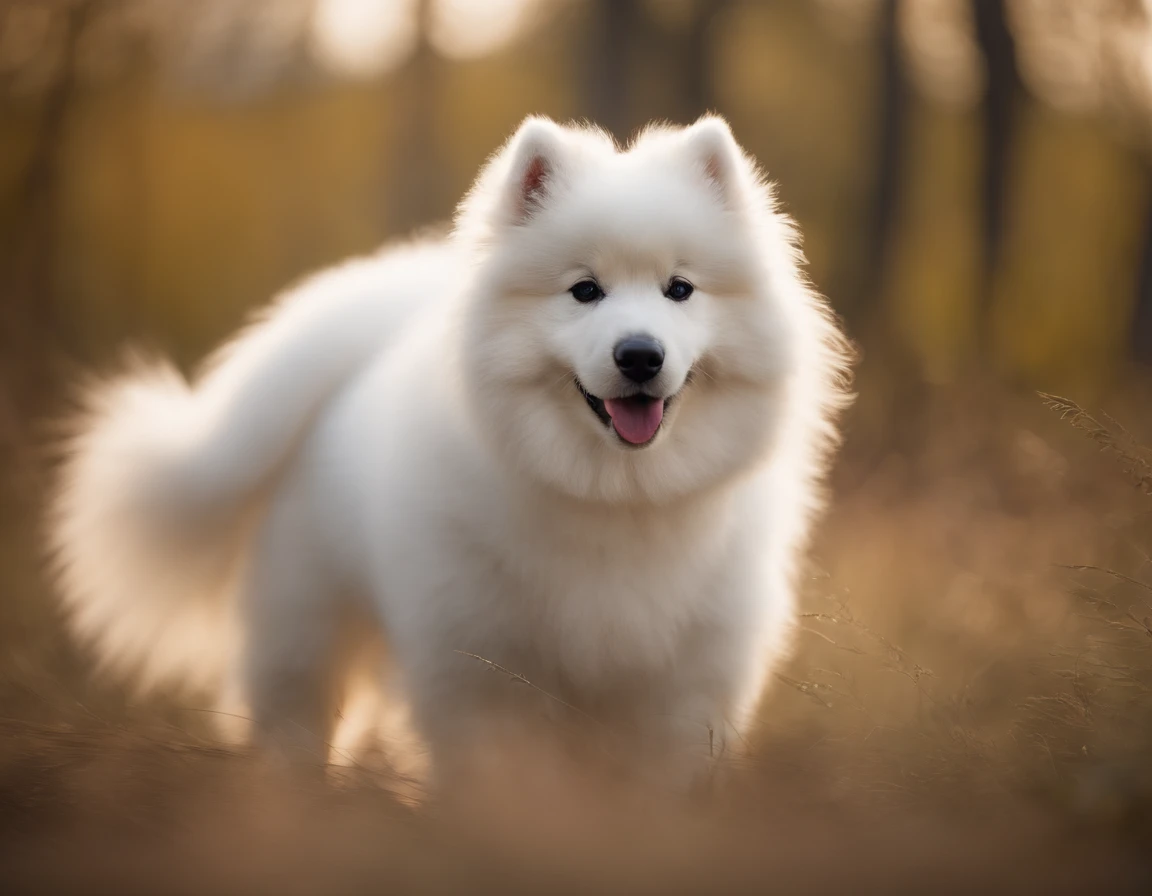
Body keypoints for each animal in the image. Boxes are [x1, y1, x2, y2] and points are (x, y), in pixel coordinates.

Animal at [49, 113, 852, 787]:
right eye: (584, 291)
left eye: (679, 289)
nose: (639, 355)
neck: (614, 500)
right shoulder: (480, 671)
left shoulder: (683, 688)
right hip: (306, 631)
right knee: (295, 720)